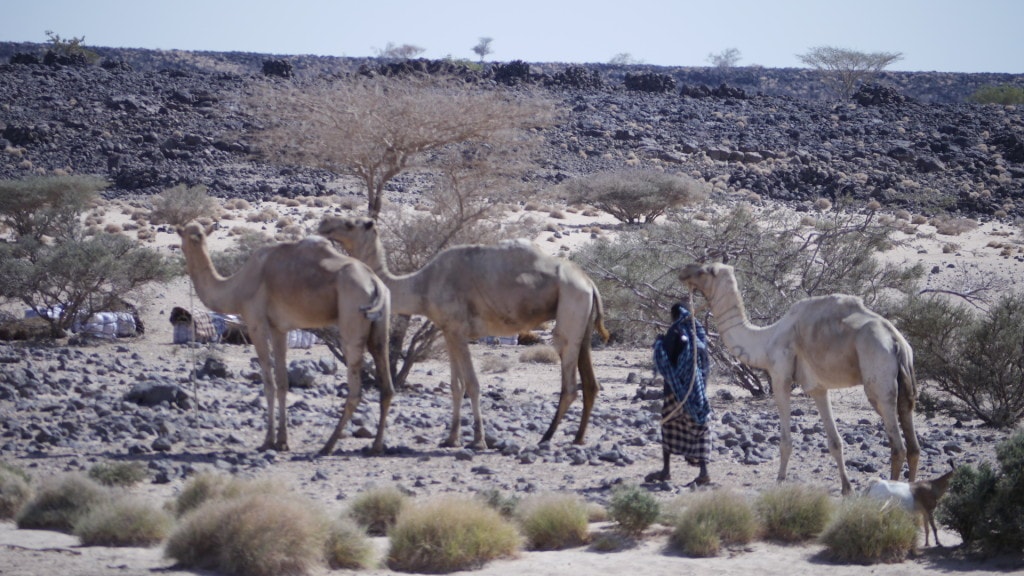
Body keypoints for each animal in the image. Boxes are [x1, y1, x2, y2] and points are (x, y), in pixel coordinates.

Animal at [178, 219, 393, 453]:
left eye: (181, 238)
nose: (187, 246)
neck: (236, 287)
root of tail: (374, 283)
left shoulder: (256, 323)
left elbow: (268, 382)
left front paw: (267, 441)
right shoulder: (279, 329)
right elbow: (282, 382)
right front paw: (282, 440)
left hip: (352, 321)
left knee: (355, 390)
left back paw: (328, 445)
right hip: (380, 328)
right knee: (387, 384)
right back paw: (376, 445)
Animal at [317, 215, 606, 448]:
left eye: (350, 223)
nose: (323, 224)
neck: (420, 285)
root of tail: (589, 282)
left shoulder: (457, 329)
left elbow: (472, 384)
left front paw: (478, 441)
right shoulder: (449, 331)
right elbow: (456, 386)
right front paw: (451, 439)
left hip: (571, 302)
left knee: (568, 376)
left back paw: (546, 437)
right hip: (582, 318)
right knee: (590, 381)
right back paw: (578, 437)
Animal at [679, 262, 921, 491]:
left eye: (706, 270)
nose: (684, 271)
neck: (765, 339)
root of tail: (896, 341)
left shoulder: (780, 377)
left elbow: (785, 441)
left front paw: (779, 482)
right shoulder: (818, 387)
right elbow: (835, 442)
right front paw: (846, 489)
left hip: (878, 379)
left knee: (897, 446)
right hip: (905, 384)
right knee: (913, 444)